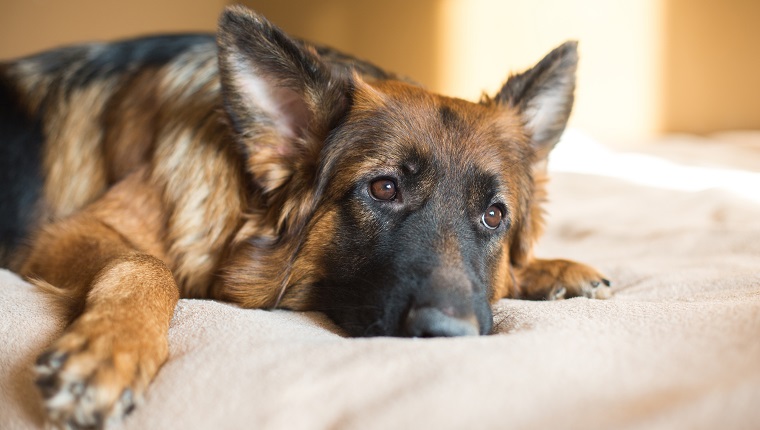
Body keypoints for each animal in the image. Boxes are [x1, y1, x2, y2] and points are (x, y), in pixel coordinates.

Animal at [0, 5, 612, 428]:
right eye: (384, 188)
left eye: (492, 215)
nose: (449, 336)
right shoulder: (69, 234)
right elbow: (146, 264)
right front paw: (111, 348)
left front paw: (552, 270)